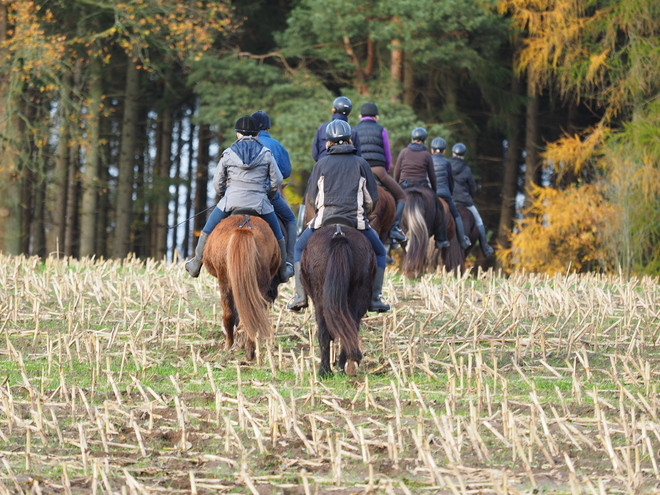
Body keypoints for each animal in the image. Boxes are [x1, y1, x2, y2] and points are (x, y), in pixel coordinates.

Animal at [302, 223, 374, 378]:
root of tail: (339, 234)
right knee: (350, 326)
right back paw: (347, 364)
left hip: (321, 301)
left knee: (326, 333)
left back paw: (326, 371)